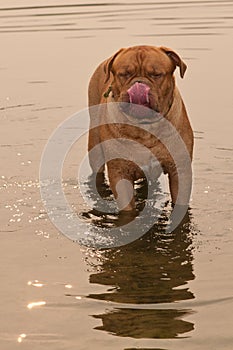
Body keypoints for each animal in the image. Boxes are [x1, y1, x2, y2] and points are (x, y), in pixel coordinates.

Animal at [87, 45, 193, 212]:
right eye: (124, 74)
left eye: (156, 74)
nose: (139, 84)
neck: (144, 127)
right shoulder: (120, 173)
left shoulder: (180, 169)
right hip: (95, 148)